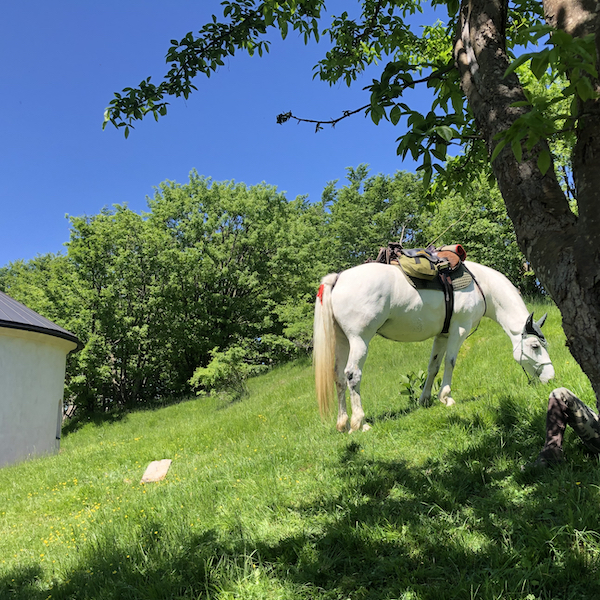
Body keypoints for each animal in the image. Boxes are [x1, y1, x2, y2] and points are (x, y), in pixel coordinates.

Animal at [314, 260, 552, 434]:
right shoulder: (459, 330)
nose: (550, 377)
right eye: (534, 346)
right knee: (352, 375)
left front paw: (425, 399)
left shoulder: (442, 335)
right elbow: (450, 362)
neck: (481, 285)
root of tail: (338, 278)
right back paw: (359, 422)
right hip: (359, 339)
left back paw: (343, 422)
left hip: (343, 340)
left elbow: (433, 366)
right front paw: (446, 397)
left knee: (339, 377)